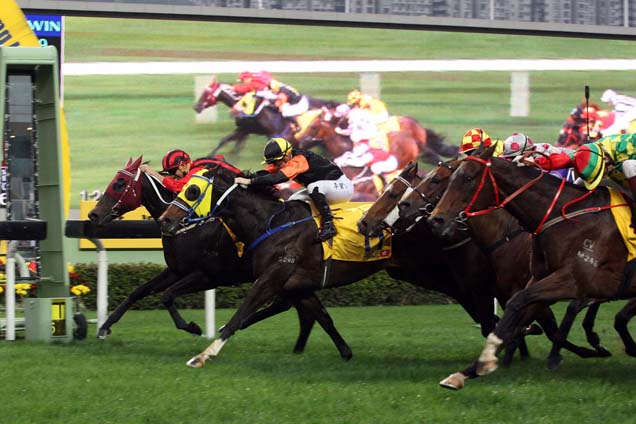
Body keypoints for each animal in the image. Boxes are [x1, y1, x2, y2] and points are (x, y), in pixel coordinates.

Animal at [424, 145, 636, 388]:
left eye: (467, 178)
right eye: (450, 179)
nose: (435, 220)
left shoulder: (572, 281)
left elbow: (522, 306)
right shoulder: (540, 281)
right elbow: (515, 316)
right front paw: (469, 371)